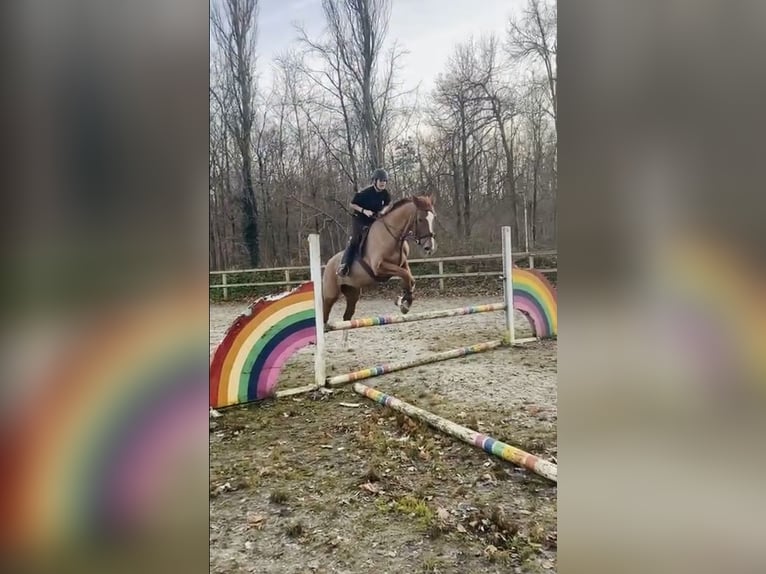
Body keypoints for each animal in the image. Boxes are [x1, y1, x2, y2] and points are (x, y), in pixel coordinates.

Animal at [320, 196, 438, 348]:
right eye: (420, 219)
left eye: (433, 218)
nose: (430, 248)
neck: (392, 235)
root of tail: (329, 263)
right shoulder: (379, 267)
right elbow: (405, 275)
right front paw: (403, 302)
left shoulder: (402, 263)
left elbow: (410, 279)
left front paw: (403, 301)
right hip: (331, 294)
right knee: (325, 313)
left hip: (352, 293)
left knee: (347, 316)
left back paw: (345, 344)